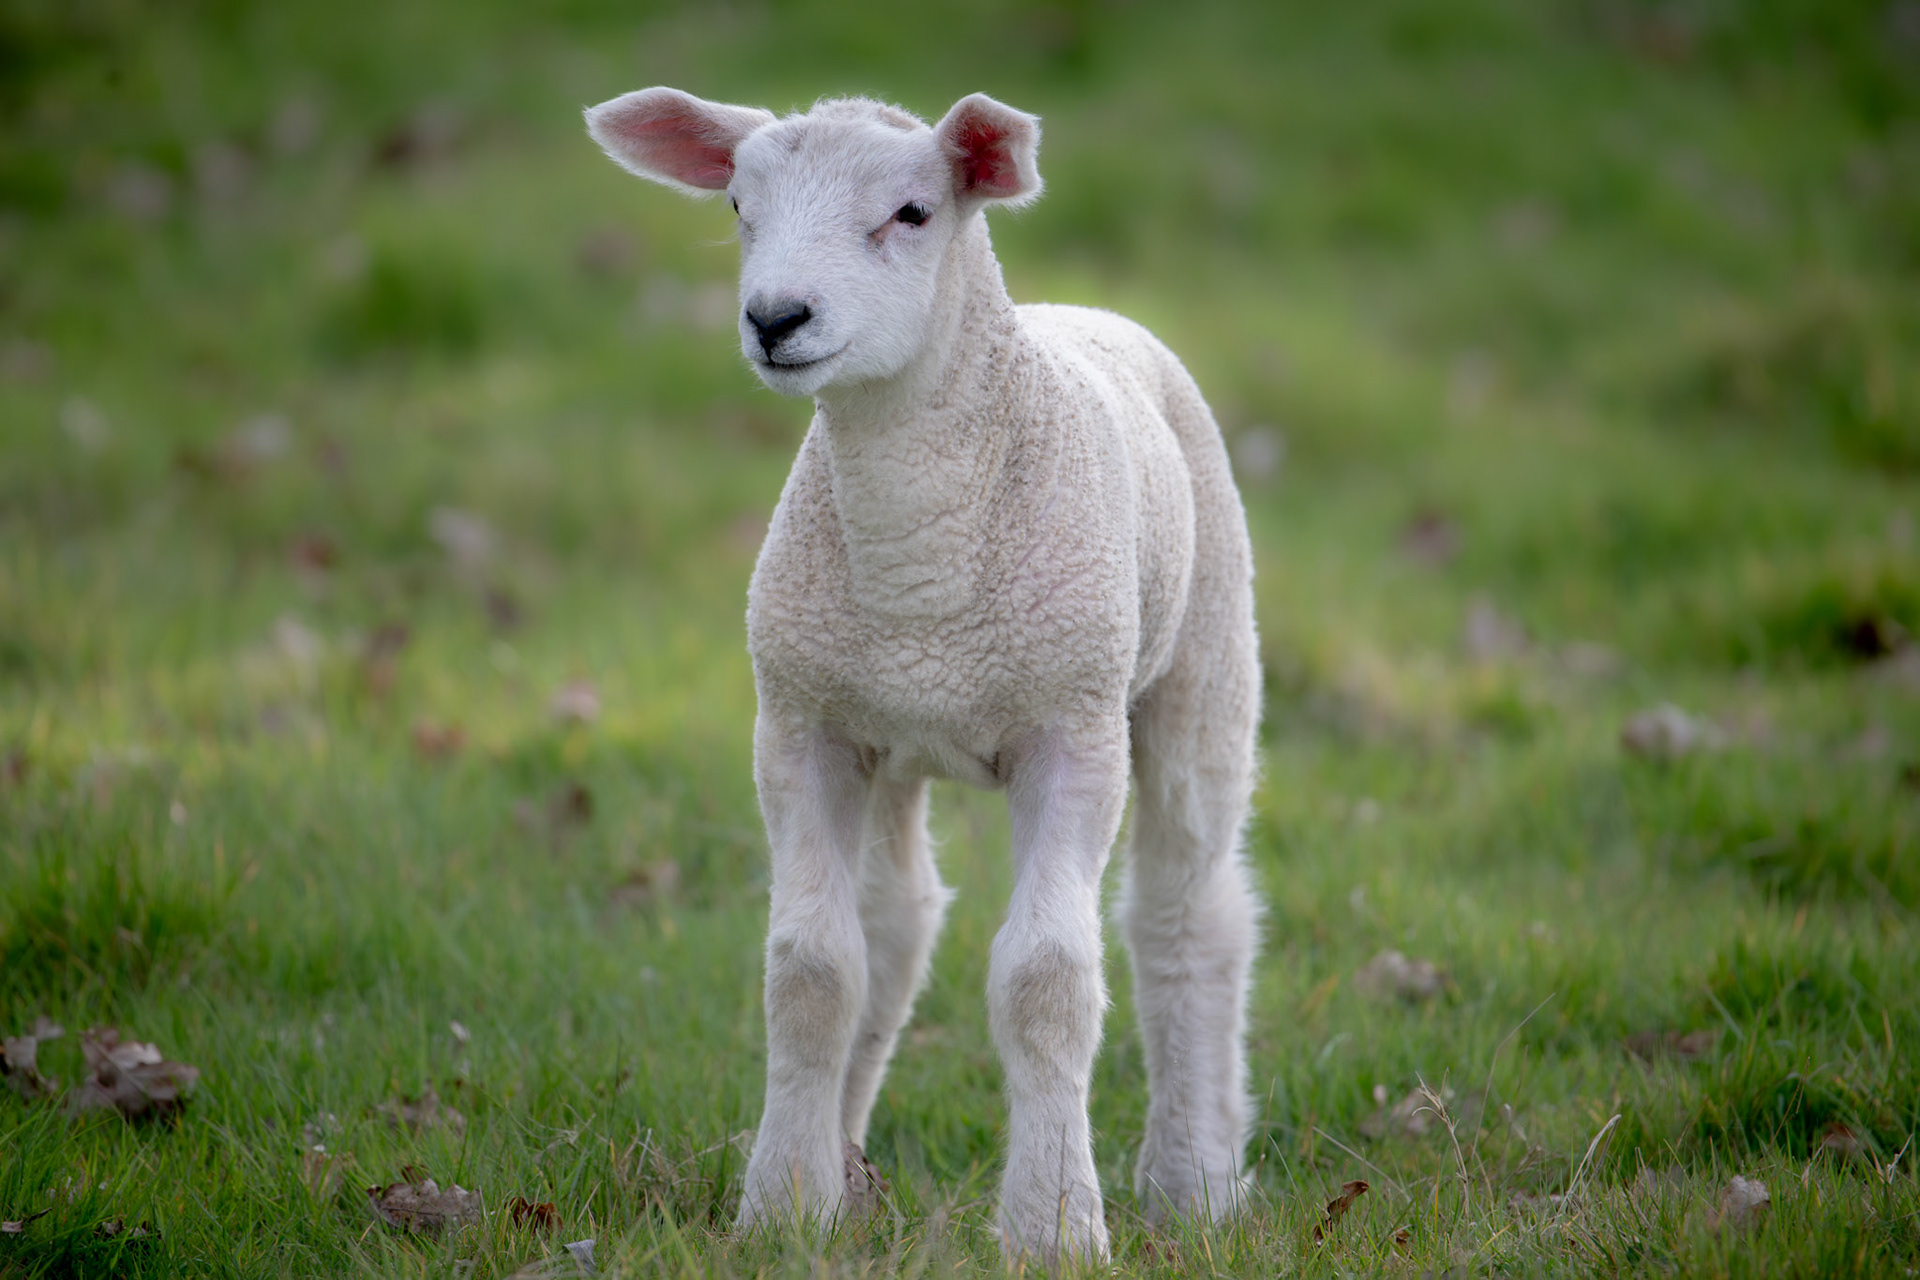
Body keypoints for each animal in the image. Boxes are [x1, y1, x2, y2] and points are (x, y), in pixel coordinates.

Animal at [585, 87, 1261, 1264]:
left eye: (911, 212)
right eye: (737, 204)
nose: (776, 318)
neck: (923, 572)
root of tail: (1082, 307)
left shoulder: (1072, 727)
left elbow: (1047, 980)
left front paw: (1054, 1226)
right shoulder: (802, 723)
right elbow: (813, 970)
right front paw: (783, 1206)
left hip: (1204, 655)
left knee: (1189, 914)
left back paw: (1195, 1178)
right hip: (889, 737)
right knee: (896, 923)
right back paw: (847, 1157)